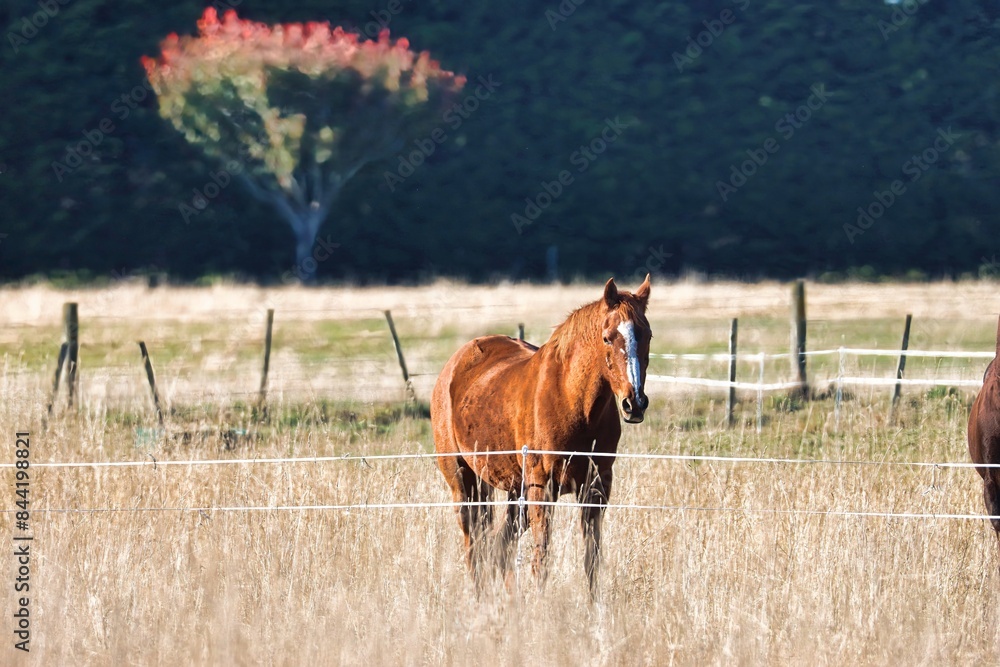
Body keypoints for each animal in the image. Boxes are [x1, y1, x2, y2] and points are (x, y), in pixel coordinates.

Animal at [432, 274, 652, 596]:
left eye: (647, 335)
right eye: (607, 337)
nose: (634, 402)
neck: (572, 401)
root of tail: (454, 365)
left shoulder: (596, 489)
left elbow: (592, 560)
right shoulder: (542, 489)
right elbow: (541, 559)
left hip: (514, 491)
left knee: (500, 547)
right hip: (464, 483)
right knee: (474, 547)